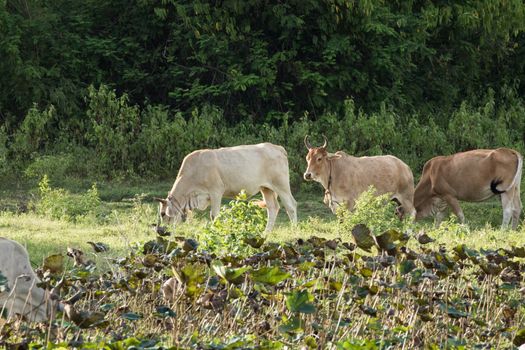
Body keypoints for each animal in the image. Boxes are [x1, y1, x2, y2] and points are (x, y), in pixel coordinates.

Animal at [155, 143, 294, 232]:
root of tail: (277, 147)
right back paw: (266, 233)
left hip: (282, 186)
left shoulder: (216, 192)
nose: (161, 231)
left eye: (162, 213)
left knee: (290, 206)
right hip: (266, 188)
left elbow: (214, 215)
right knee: (273, 208)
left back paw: (294, 229)